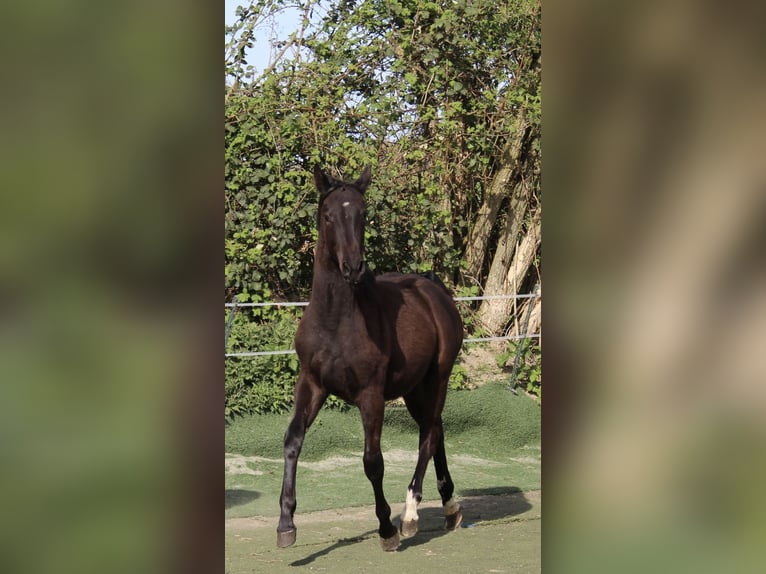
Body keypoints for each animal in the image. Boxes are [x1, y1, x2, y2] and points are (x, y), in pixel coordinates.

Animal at [277, 165, 464, 551]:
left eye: (363, 214)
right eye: (328, 215)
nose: (353, 268)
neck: (336, 320)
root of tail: (434, 290)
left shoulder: (371, 395)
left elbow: (372, 461)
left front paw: (386, 529)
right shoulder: (312, 383)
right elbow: (293, 440)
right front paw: (286, 524)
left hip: (438, 377)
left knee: (428, 435)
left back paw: (410, 515)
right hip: (414, 389)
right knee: (435, 430)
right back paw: (450, 506)